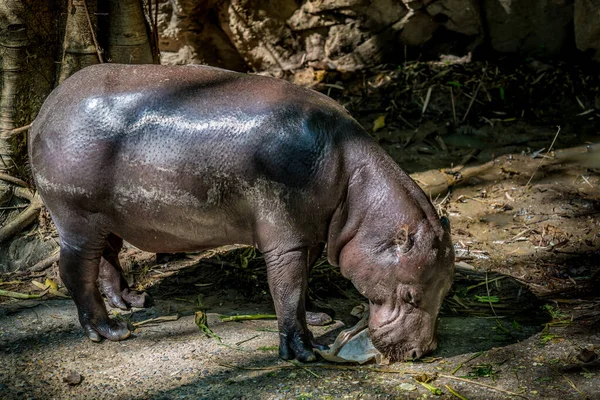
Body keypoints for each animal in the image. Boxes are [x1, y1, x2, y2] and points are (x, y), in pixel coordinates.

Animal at [28, 63, 452, 362]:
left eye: (445, 288)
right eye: (411, 296)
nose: (424, 352)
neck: (356, 187)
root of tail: (46, 107)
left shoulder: (310, 234)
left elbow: (300, 285)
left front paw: (319, 316)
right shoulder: (286, 237)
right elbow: (287, 286)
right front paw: (303, 352)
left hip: (109, 217)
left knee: (108, 257)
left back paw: (132, 301)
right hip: (77, 216)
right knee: (76, 271)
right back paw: (110, 331)